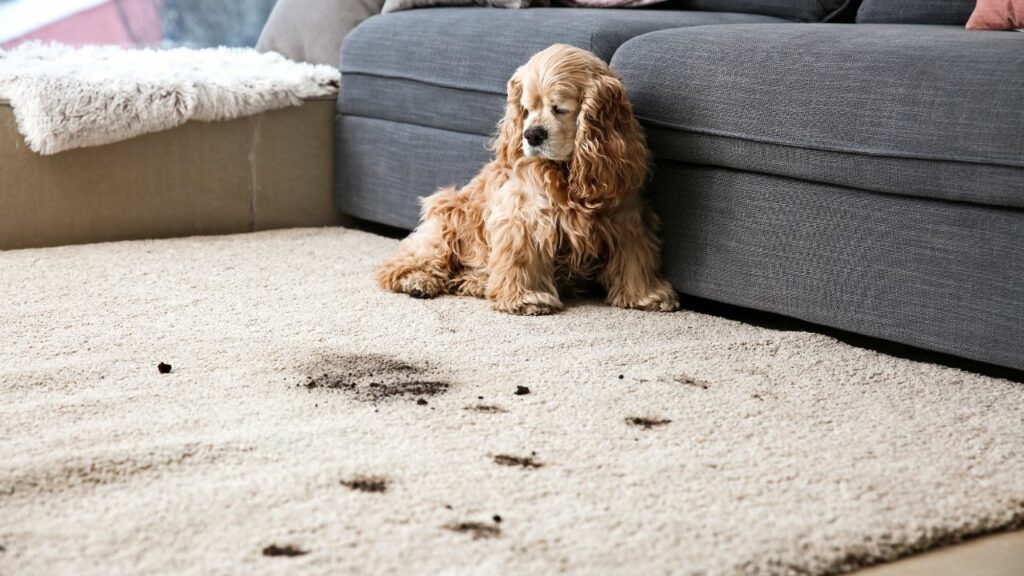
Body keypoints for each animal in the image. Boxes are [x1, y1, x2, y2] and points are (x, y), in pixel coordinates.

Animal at [376, 43, 679, 313]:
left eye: (559, 108)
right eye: (526, 108)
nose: (532, 134)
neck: (567, 172)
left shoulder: (627, 217)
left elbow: (635, 258)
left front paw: (646, 296)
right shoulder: (523, 216)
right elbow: (521, 258)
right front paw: (525, 299)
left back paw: (476, 282)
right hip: (447, 221)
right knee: (401, 262)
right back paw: (417, 281)